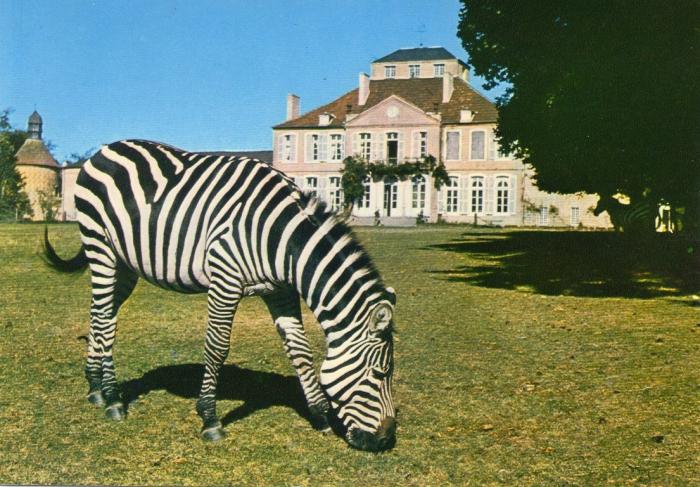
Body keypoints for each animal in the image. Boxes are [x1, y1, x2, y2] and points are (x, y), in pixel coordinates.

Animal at [43, 139, 397, 452]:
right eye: (381, 373)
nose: (385, 440)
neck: (283, 241)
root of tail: (104, 150)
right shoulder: (225, 281)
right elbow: (217, 348)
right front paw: (210, 418)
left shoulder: (280, 292)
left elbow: (299, 349)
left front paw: (319, 414)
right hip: (99, 246)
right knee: (104, 318)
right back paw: (114, 400)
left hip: (125, 263)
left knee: (101, 315)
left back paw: (96, 387)